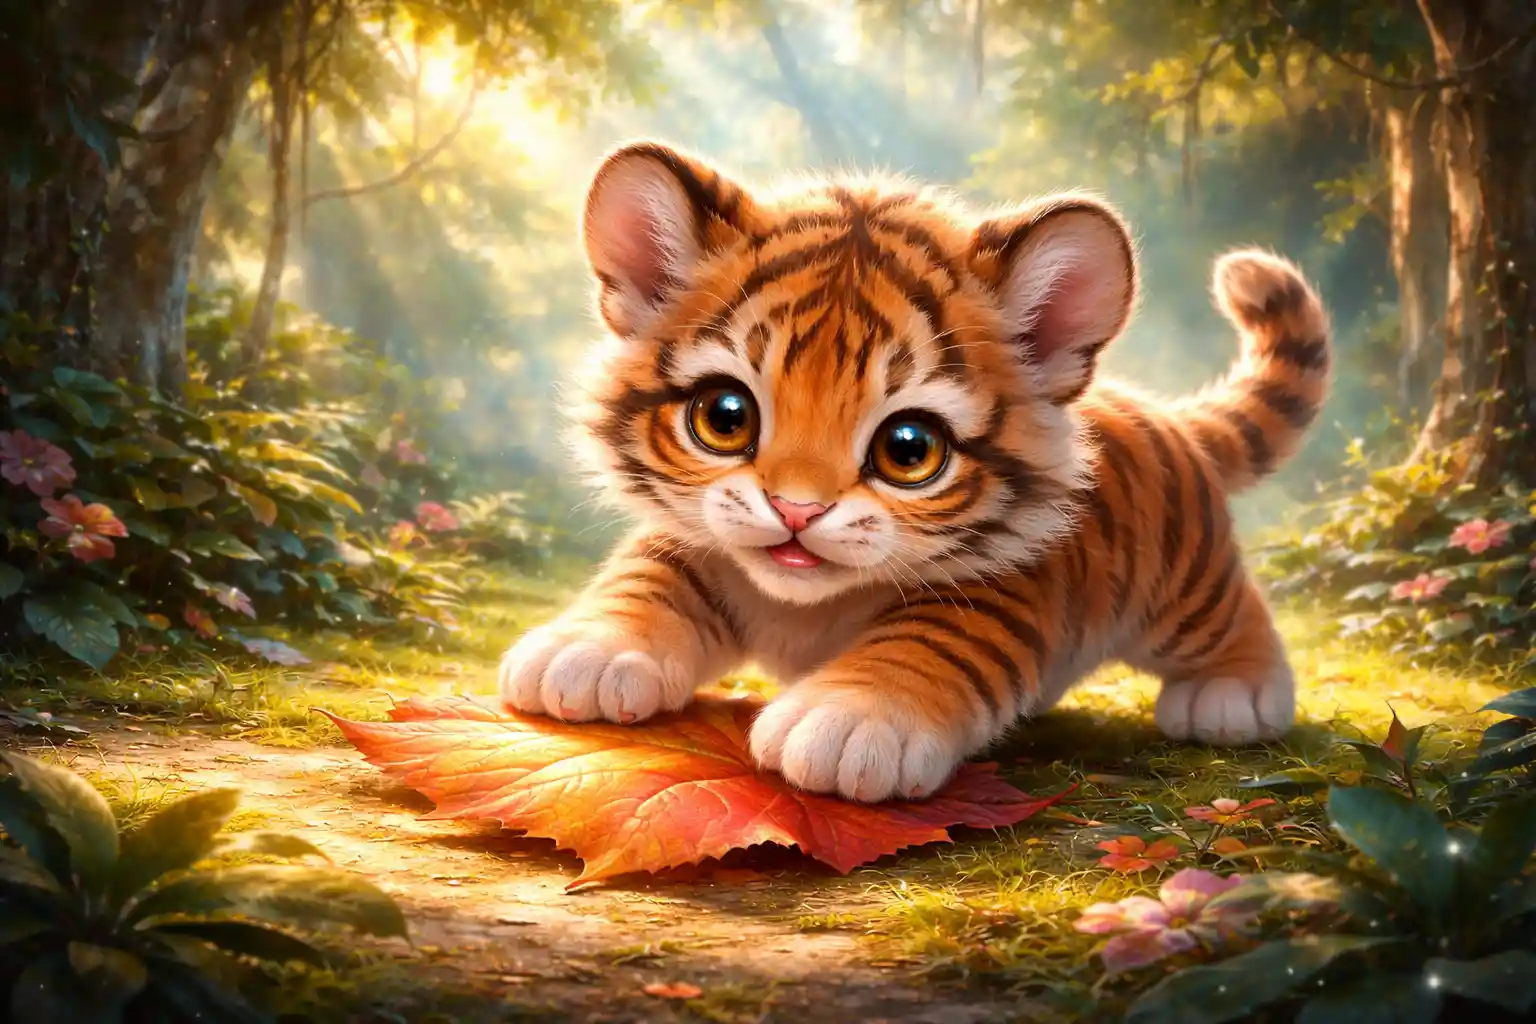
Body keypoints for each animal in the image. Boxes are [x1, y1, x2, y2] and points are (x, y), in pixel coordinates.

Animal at [496, 140, 1332, 804]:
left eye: (908, 449)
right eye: (725, 417)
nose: (795, 510)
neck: (806, 606)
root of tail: (1159, 411)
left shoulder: (998, 591)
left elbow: (923, 645)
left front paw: (848, 721)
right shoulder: (694, 538)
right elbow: (646, 575)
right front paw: (586, 651)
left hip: (1186, 592)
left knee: (1235, 616)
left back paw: (1233, 694)